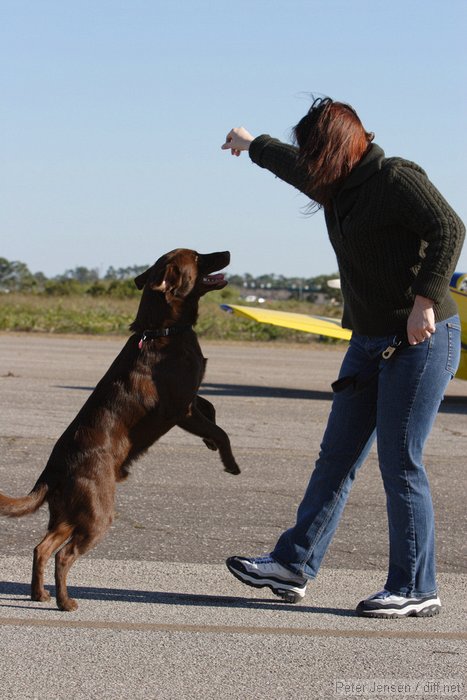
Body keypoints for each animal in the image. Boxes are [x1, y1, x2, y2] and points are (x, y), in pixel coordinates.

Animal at [0, 249, 239, 608]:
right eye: (198, 257)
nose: (227, 252)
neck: (162, 331)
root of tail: (53, 468)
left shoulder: (190, 400)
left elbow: (211, 409)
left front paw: (211, 440)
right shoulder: (179, 409)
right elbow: (219, 429)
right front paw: (229, 461)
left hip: (68, 513)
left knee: (42, 548)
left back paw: (40, 594)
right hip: (97, 514)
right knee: (63, 555)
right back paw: (65, 602)